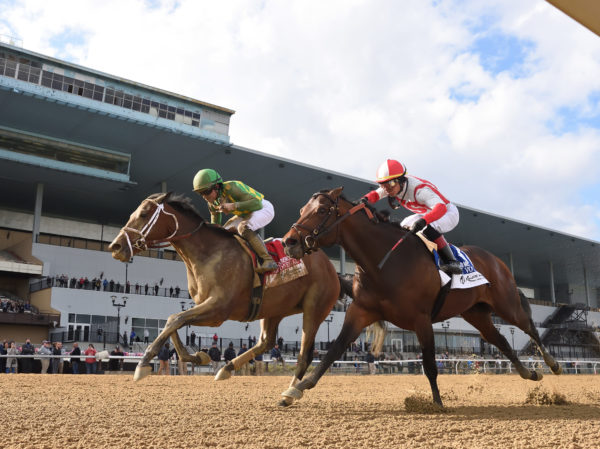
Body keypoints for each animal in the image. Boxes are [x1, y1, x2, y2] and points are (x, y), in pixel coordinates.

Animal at [109, 192, 340, 388]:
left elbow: (175, 319)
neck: (209, 253)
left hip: (314, 307)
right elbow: (173, 321)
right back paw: (227, 368)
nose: (115, 247)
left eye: (144, 214)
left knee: (303, 349)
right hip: (274, 310)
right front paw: (197, 356)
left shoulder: (218, 310)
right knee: (266, 342)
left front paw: (143, 363)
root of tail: (331, 268)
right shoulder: (205, 306)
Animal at [282, 186, 564, 406]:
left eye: (320, 211)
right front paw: (296, 389)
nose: (289, 242)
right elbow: (334, 350)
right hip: (476, 313)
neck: (385, 262)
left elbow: (429, 363)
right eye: (301, 210)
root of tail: (496, 260)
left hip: (506, 304)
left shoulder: (421, 318)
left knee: (529, 327)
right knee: (501, 341)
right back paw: (530, 374)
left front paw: (437, 403)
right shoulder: (361, 311)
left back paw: (553, 364)